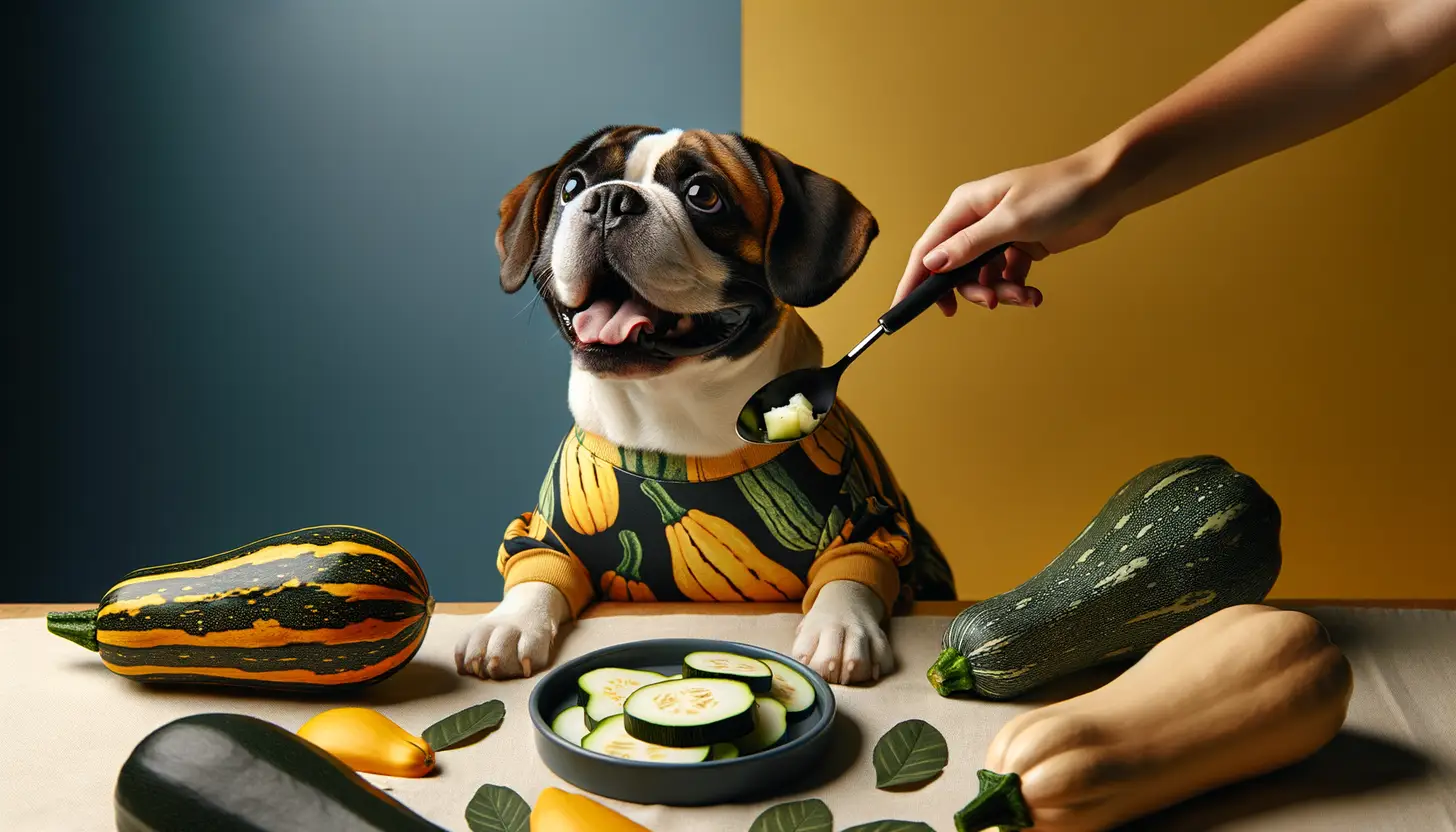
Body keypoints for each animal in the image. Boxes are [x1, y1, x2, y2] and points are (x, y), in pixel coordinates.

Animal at [454, 126, 955, 687]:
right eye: (572, 186)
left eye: (702, 195)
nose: (609, 199)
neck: (670, 409)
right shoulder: (547, 533)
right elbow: (536, 574)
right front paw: (510, 622)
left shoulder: (868, 521)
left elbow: (852, 573)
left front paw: (841, 626)